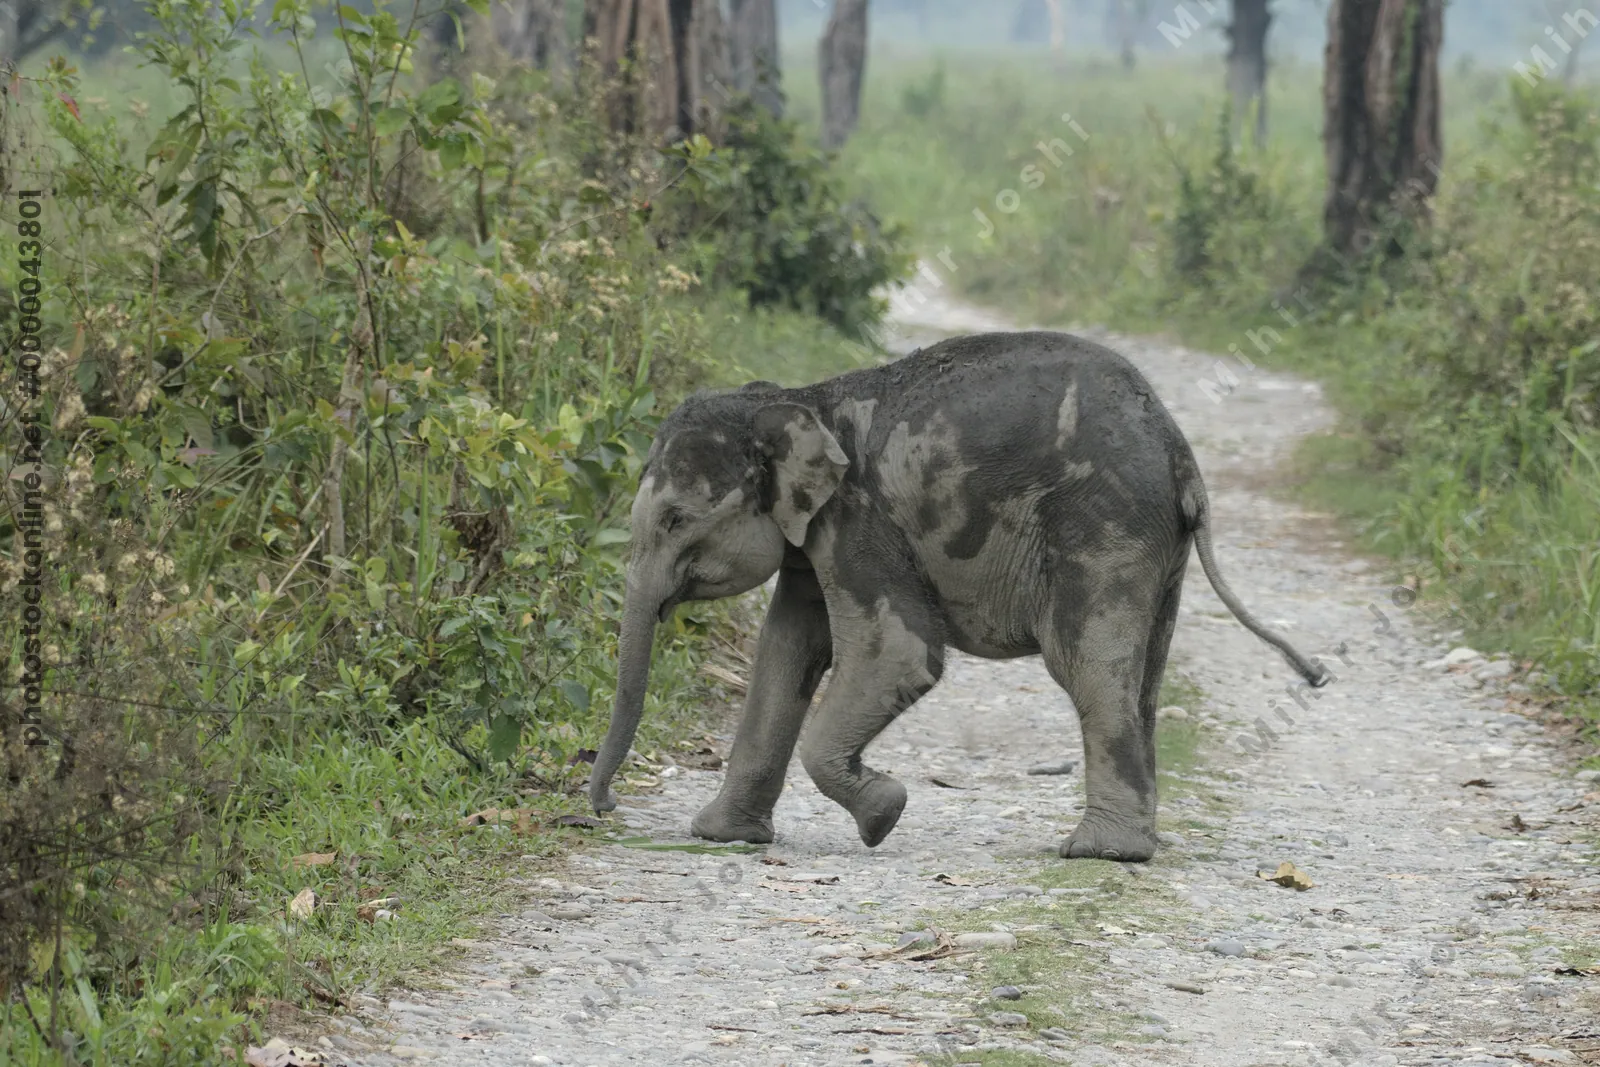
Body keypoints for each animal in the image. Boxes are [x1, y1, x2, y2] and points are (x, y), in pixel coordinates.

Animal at [588, 330, 1328, 861]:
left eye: (675, 520)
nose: (605, 808)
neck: (800, 400)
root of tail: (1182, 457)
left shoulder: (860, 517)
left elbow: (897, 652)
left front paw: (884, 813)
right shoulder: (816, 534)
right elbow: (786, 651)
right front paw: (721, 836)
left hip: (1106, 528)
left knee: (1088, 666)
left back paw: (1099, 853)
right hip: (1157, 550)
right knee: (1144, 676)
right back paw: (1132, 844)